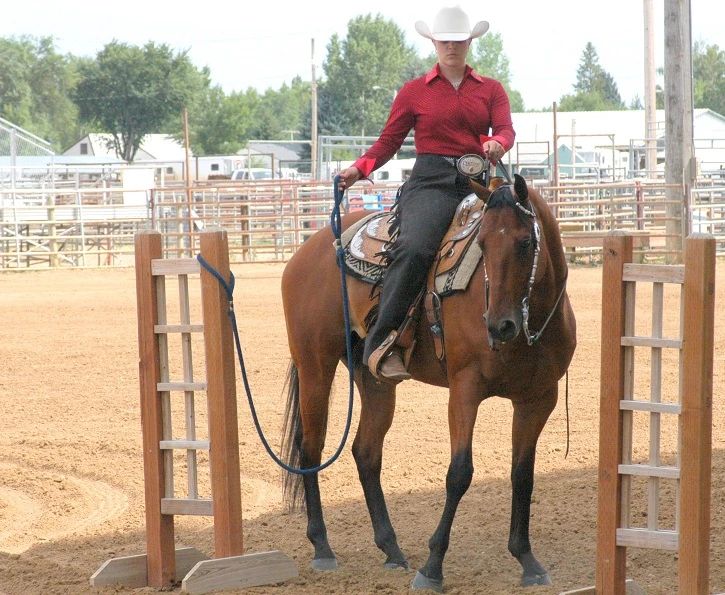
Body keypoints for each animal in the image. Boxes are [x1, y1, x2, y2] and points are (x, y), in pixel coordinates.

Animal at [280, 173, 576, 592]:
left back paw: (391, 549)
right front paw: (433, 566)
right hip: (314, 365)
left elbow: (522, 475)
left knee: (365, 453)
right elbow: (459, 474)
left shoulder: (538, 399)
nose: (499, 325)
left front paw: (527, 560)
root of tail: (310, 247)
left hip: (374, 383)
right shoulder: (465, 390)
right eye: (482, 243)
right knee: (310, 448)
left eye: (525, 242)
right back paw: (323, 547)